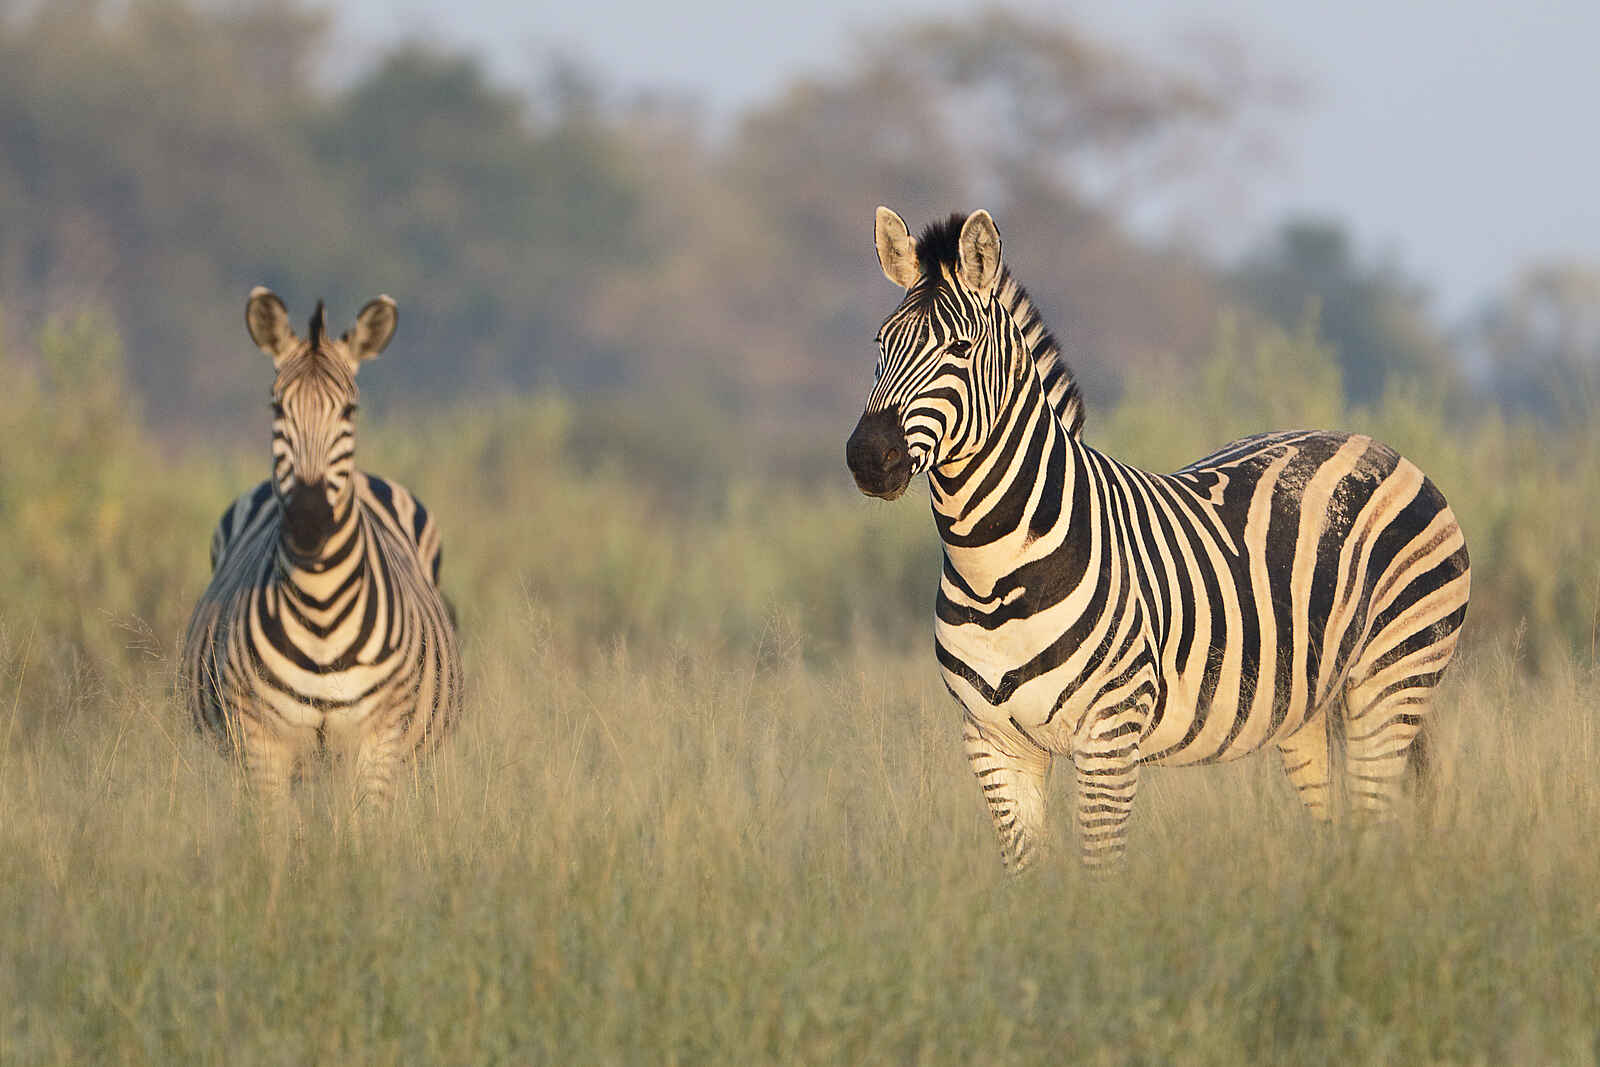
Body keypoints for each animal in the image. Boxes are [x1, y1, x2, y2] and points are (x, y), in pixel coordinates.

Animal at [182, 288, 463, 811]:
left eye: (349, 411)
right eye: (276, 408)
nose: (309, 522)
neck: (321, 608)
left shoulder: (379, 740)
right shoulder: (262, 743)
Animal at [846, 208, 1470, 872]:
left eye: (960, 349)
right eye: (881, 343)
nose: (867, 458)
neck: (993, 575)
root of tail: (1375, 445)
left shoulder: (1110, 732)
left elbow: (1101, 870)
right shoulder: (992, 741)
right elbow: (1026, 875)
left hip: (1391, 679)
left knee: (1375, 819)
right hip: (1309, 709)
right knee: (1341, 832)